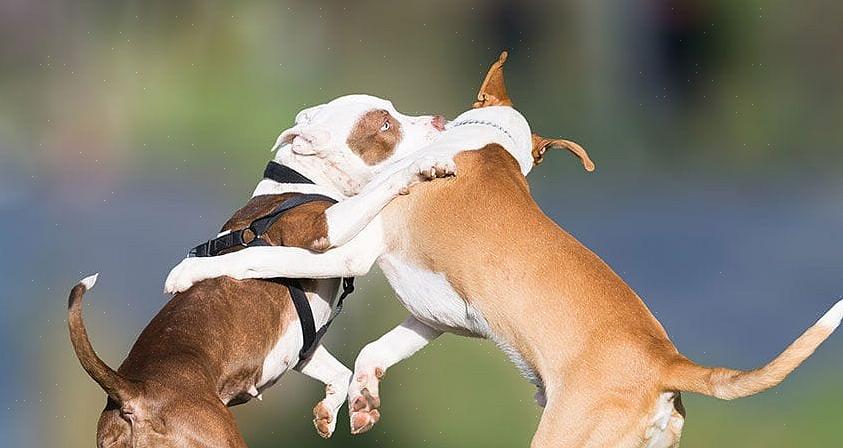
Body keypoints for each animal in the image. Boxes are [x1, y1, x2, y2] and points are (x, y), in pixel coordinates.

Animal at [70, 93, 454, 446]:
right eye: (386, 124)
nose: (439, 120)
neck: (303, 181)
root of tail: (133, 390)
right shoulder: (323, 229)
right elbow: (380, 186)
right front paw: (423, 165)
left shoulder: (298, 349)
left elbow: (340, 372)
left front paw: (329, 412)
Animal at [166, 54, 843, 446]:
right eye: (384, 120)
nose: (436, 123)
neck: (487, 145)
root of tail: (665, 364)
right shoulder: (433, 314)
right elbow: (376, 352)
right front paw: (360, 404)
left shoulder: (349, 252)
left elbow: (263, 257)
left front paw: (192, 270)